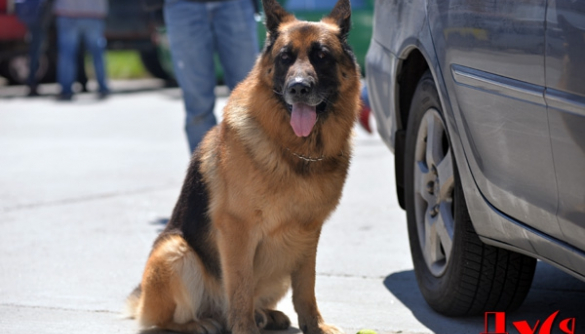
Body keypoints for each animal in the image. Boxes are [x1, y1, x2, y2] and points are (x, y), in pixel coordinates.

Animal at [125, 0, 358, 334]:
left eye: (322, 56)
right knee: (161, 321)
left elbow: (306, 287)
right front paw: (244, 327)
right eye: (285, 57)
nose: (299, 88)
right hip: (175, 252)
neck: (297, 153)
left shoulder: (308, 234)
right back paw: (200, 323)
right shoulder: (237, 230)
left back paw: (265, 315)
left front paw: (315, 325)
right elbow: (240, 287)